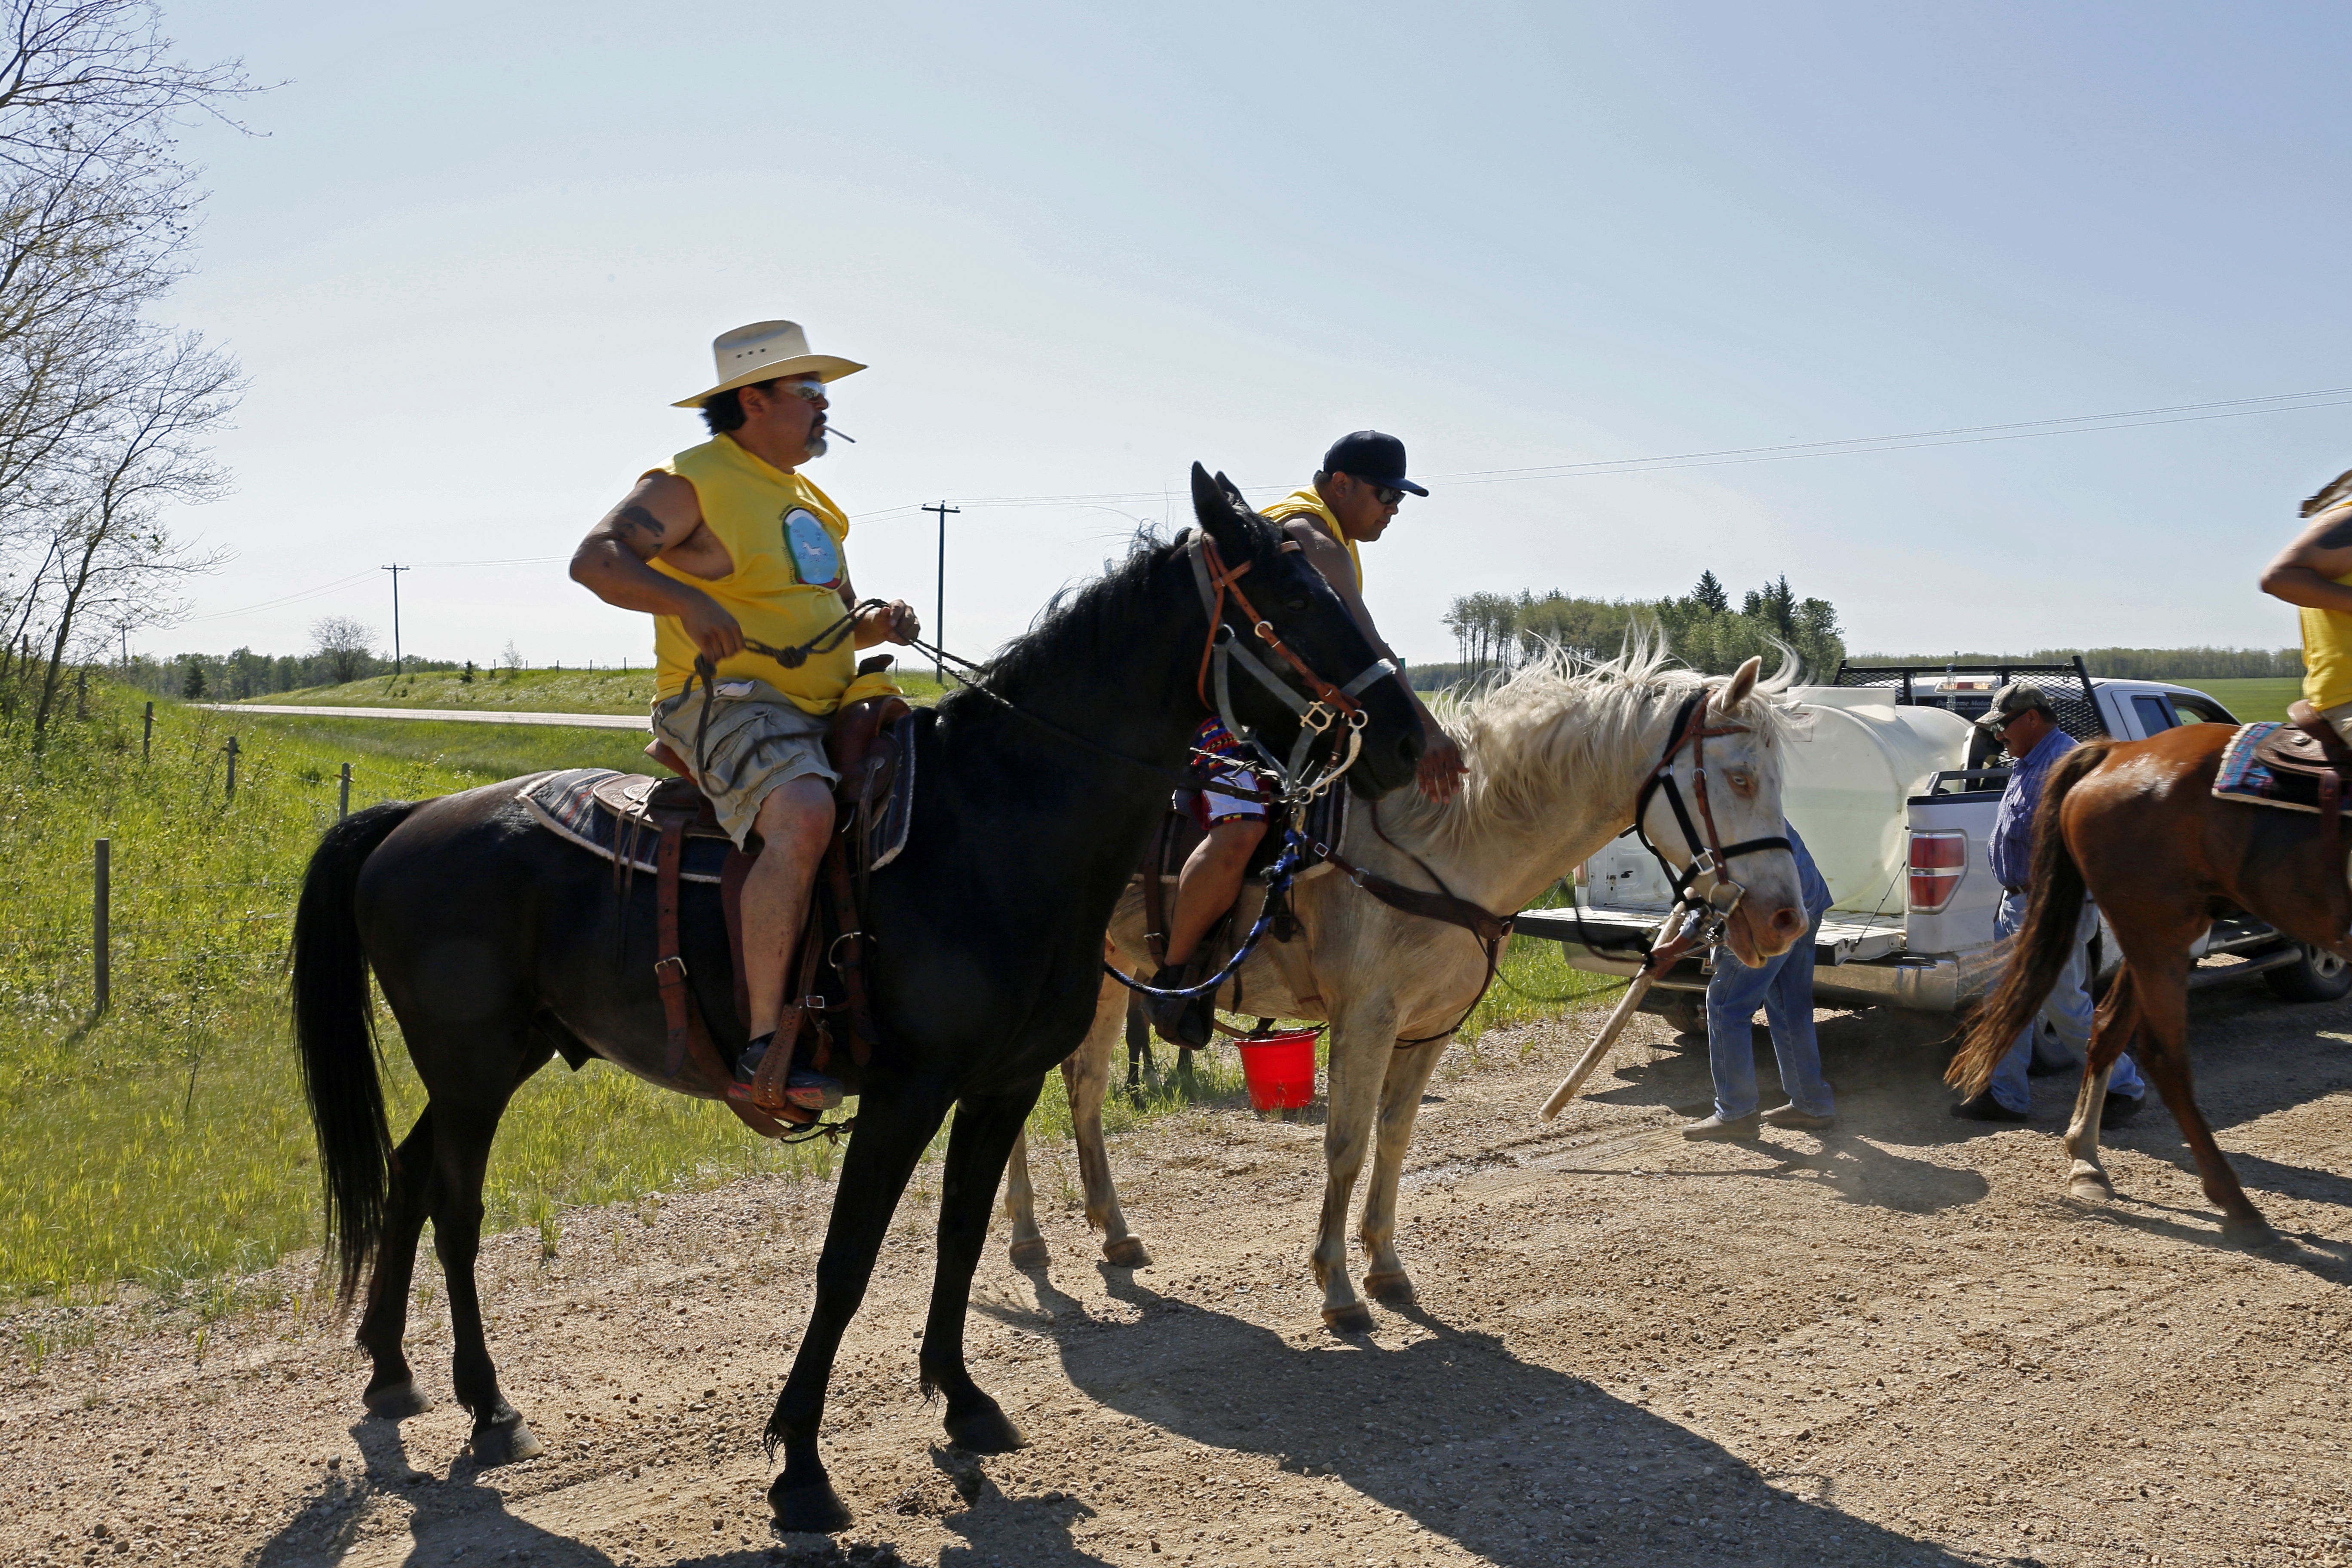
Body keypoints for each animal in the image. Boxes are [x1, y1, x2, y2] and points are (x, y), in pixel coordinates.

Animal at [280, 470, 1411, 1532]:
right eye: (1293, 595)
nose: (1404, 736)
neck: (994, 824)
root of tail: (412, 818)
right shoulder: (905, 1096)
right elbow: (847, 1264)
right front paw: (802, 1468)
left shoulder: (998, 1088)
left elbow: (961, 1240)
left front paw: (963, 1400)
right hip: (472, 1069)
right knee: (456, 1211)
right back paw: (487, 1405)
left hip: (493, 1059)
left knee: (409, 1176)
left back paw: (393, 1371)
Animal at [1002, 644, 1806, 1335]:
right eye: (1739, 778)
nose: (1786, 918)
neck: (1442, 844)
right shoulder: (1366, 1019)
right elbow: (1346, 1144)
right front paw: (1336, 1286)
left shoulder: (1430, 1027)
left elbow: (1393, 1139)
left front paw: (1385, 1266)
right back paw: (1026, 1235)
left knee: (1083, 1088)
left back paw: (1112, 1231)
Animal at [1947, 724, 2352, 1241]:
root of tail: (2119, 751)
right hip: (2157, 932)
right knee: (2162, 1057)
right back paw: (2234, 1201)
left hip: (2156, 937)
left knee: (2106, 1027)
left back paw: (2088, 1161)